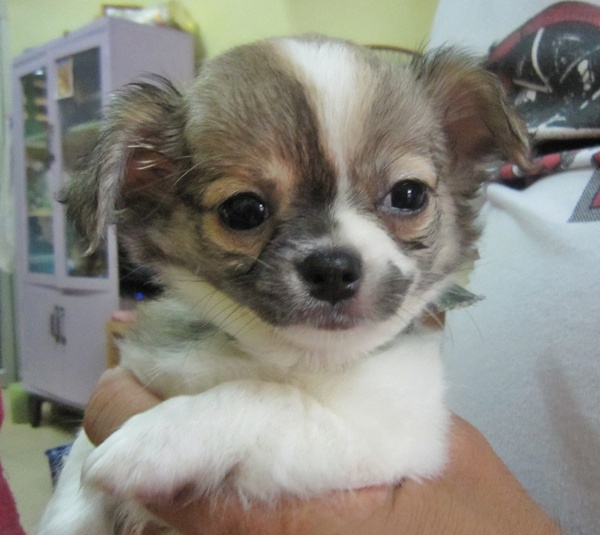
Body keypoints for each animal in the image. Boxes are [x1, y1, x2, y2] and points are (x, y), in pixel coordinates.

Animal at [38, 35, 528, 534]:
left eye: (409, 195)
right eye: (242, 210)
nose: (333, 267)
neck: (287, 356)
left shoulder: (383, 439)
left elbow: (269, 397)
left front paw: (160, 439)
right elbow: (75, 487)